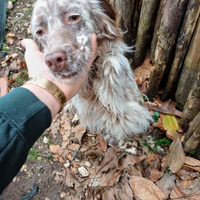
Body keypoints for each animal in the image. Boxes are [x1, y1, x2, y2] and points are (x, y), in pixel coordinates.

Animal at [31, 0, 152, 155]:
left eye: (74, 17)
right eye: (39, 31)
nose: (53, 61)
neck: (92, 81)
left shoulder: (137, 109)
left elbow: (145, 128)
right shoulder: (96, 120)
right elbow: (110, 136)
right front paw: (135, 146)